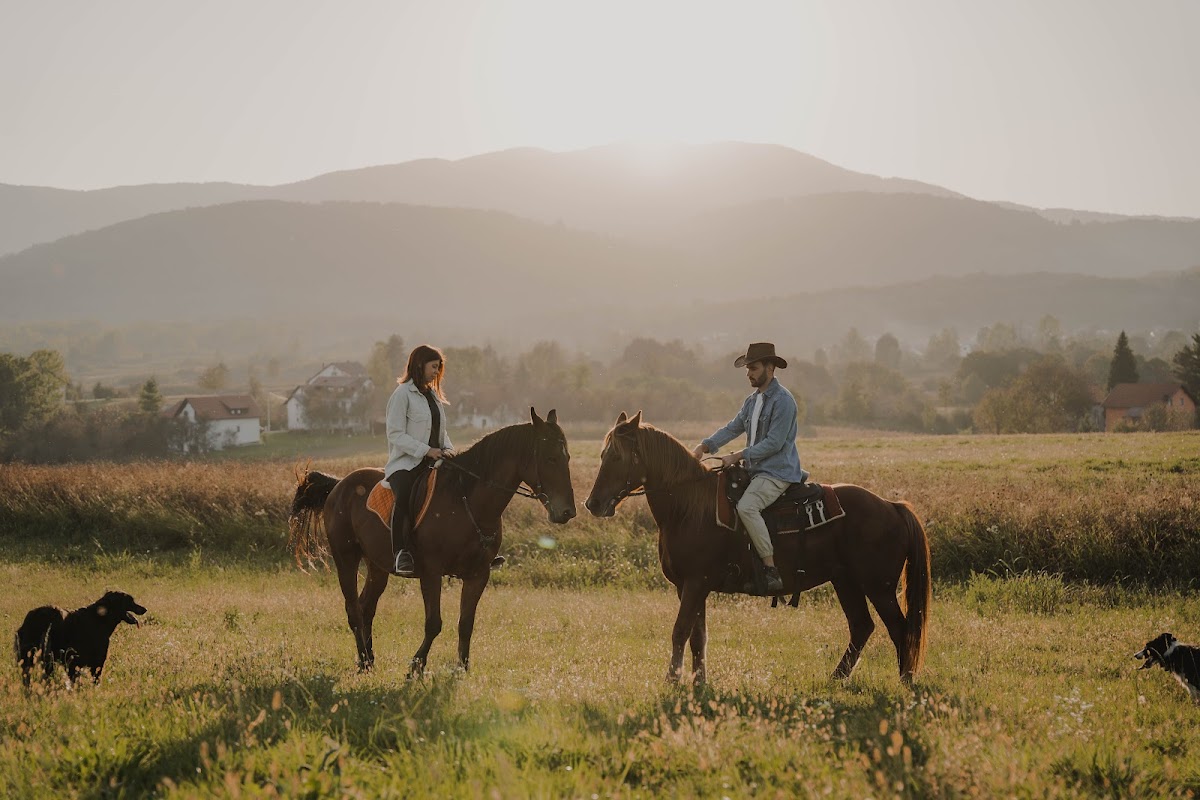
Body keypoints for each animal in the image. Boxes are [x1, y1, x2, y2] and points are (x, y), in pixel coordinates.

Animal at [289, 408, 576, 676]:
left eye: (567, 457)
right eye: (550, 458)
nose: (567, 512)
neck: (469, 502)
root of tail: (339, 484)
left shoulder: (478, 575)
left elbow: (466, 623)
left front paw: (462, 669)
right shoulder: (431, 572)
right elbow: (434, 623)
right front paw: (416, 666)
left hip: (377, 566)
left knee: (365, 607)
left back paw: (369, 660)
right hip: (345, 557)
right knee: (353, 610)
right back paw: (363, 662)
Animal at [584, 411, 930, 686]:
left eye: (616, 457)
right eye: (602, 456)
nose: (593, 504)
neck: (689, 507)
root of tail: (892, 506)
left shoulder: (695, 584)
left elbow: (680, 631)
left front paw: (672, 680)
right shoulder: (691, 587)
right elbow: (698, 636)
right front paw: (699, 682)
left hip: (878, 586)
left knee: (900, 628)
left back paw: (905, 681)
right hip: (846, 582)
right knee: (861, 626)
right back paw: (836, 678)